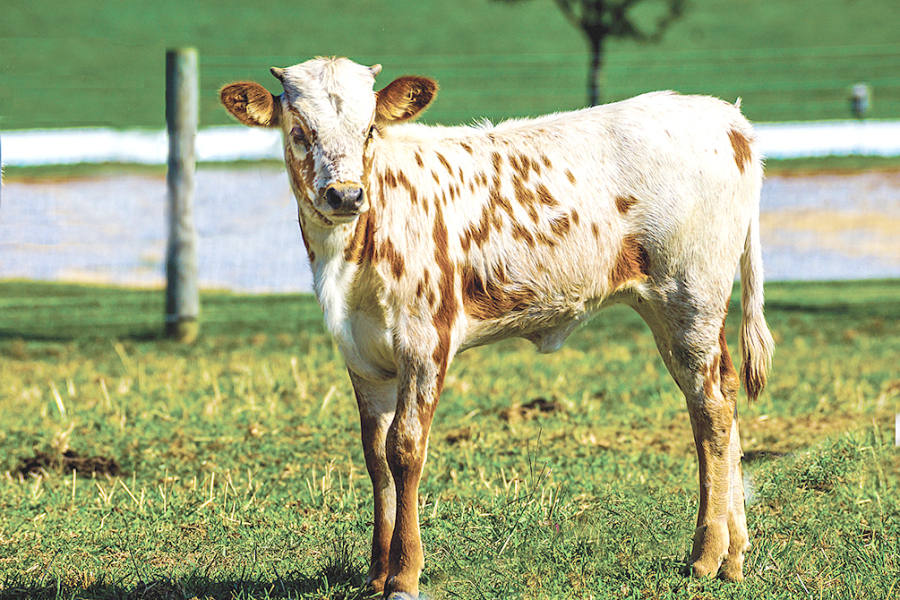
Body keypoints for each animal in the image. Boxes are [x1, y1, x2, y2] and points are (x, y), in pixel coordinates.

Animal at [220, 56, 774, 598]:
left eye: (369, 128)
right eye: (299, 131)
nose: (345, 194)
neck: (351, 256)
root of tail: (726, 118)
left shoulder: (425, 341)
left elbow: (405, 449)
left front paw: (404, 575)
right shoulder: (362, 356)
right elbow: (376, 456)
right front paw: (376, 574)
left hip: (690, 297)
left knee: (710, 409)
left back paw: (705, 554)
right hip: (679, 309)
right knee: (723, 393)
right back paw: (735, 555)